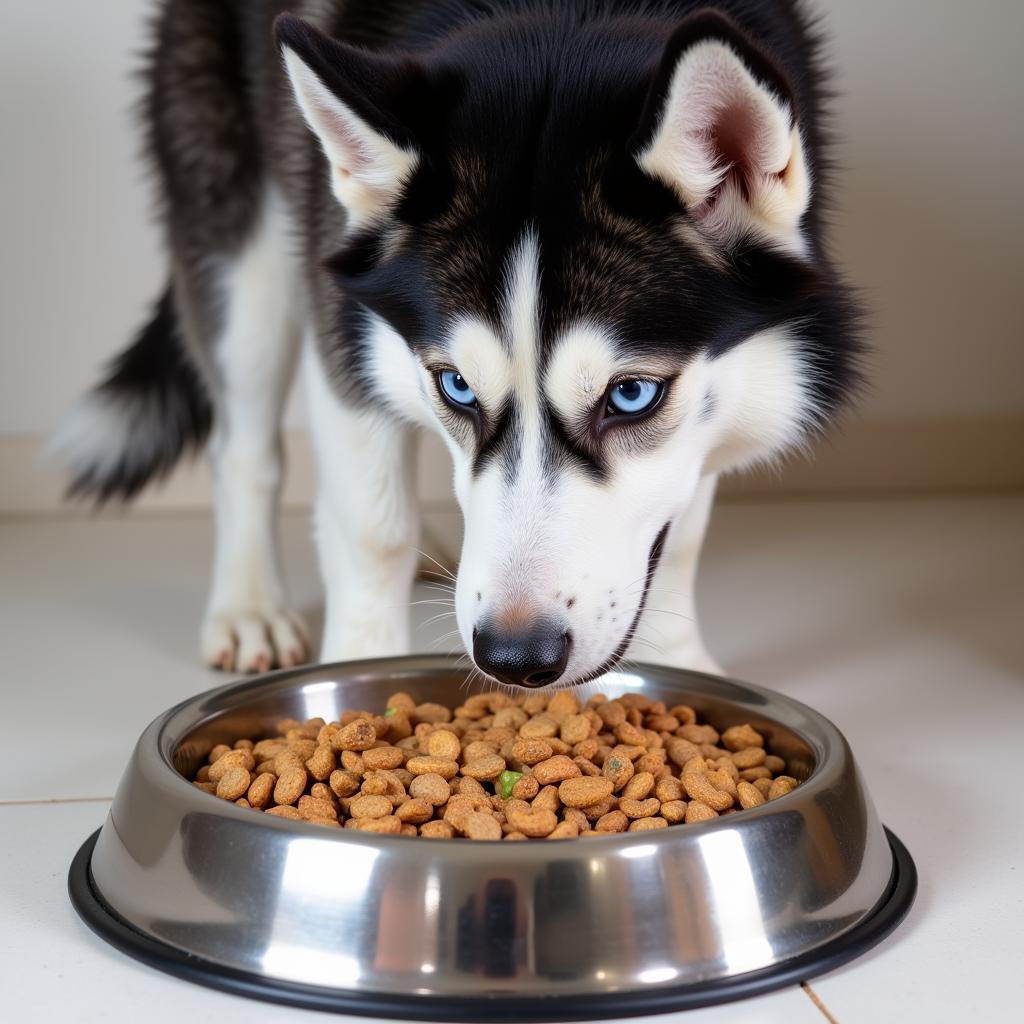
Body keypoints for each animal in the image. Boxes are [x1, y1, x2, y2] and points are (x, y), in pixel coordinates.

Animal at [54, 2, 856, 688]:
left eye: (631, 395)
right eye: (457, 386)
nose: (514, 655)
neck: (565, 25)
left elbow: (680, 534)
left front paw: (679, 661)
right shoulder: (346, 330)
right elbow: (372, 529)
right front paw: (355, 672)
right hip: (247, 254)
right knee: (243, 446)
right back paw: (249, 605)